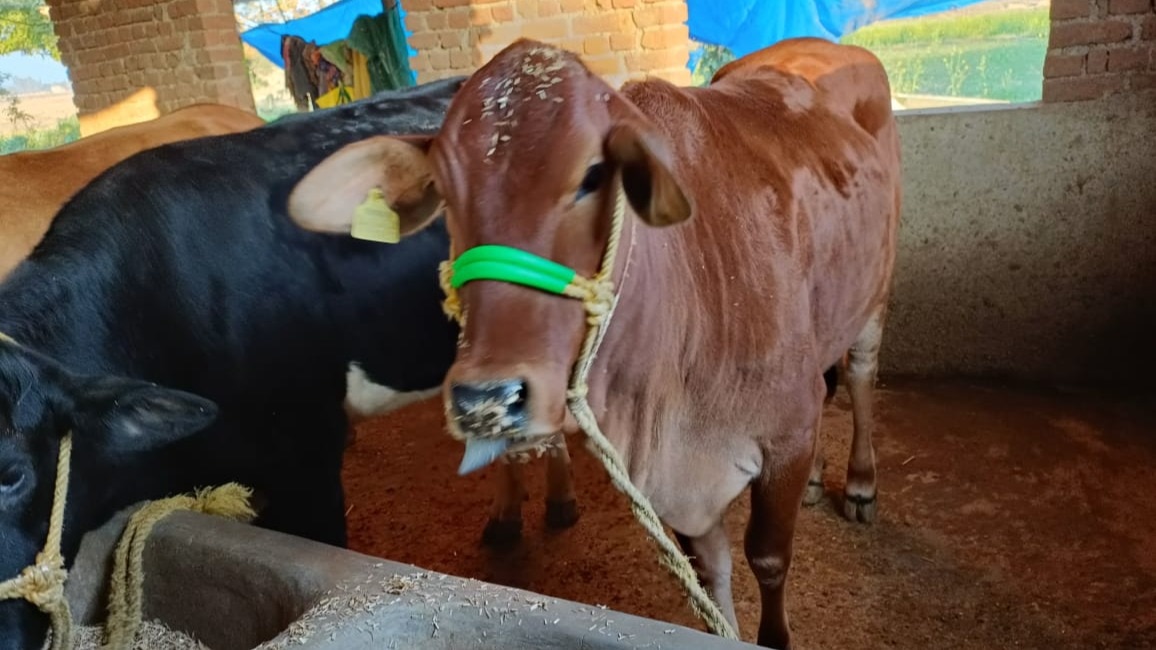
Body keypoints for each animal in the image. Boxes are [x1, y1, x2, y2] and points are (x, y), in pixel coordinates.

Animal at [284, 37, 902, 649]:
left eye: (592, 175)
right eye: (444, 191)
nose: (487, 399)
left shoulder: (786, 436)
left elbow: (769, 559)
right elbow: (710, 570)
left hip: (876, 290)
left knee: (859, 377)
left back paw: (860, 485)